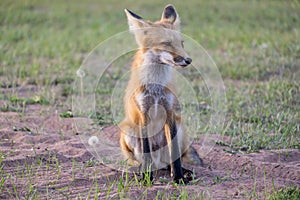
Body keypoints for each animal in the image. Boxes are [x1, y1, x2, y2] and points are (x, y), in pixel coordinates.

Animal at [118, 3, 203, 184]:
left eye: (181, 43)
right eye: (167, 43)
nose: (188, 60)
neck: (156, 87)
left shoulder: (170, 110)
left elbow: (175, 153)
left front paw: (178, 178)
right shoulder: (143, 112)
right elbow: (146, 151)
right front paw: (146, 179)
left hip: (180, 126)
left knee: (168, 162)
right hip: (128, 131)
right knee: (140, 160)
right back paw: (141, 171)